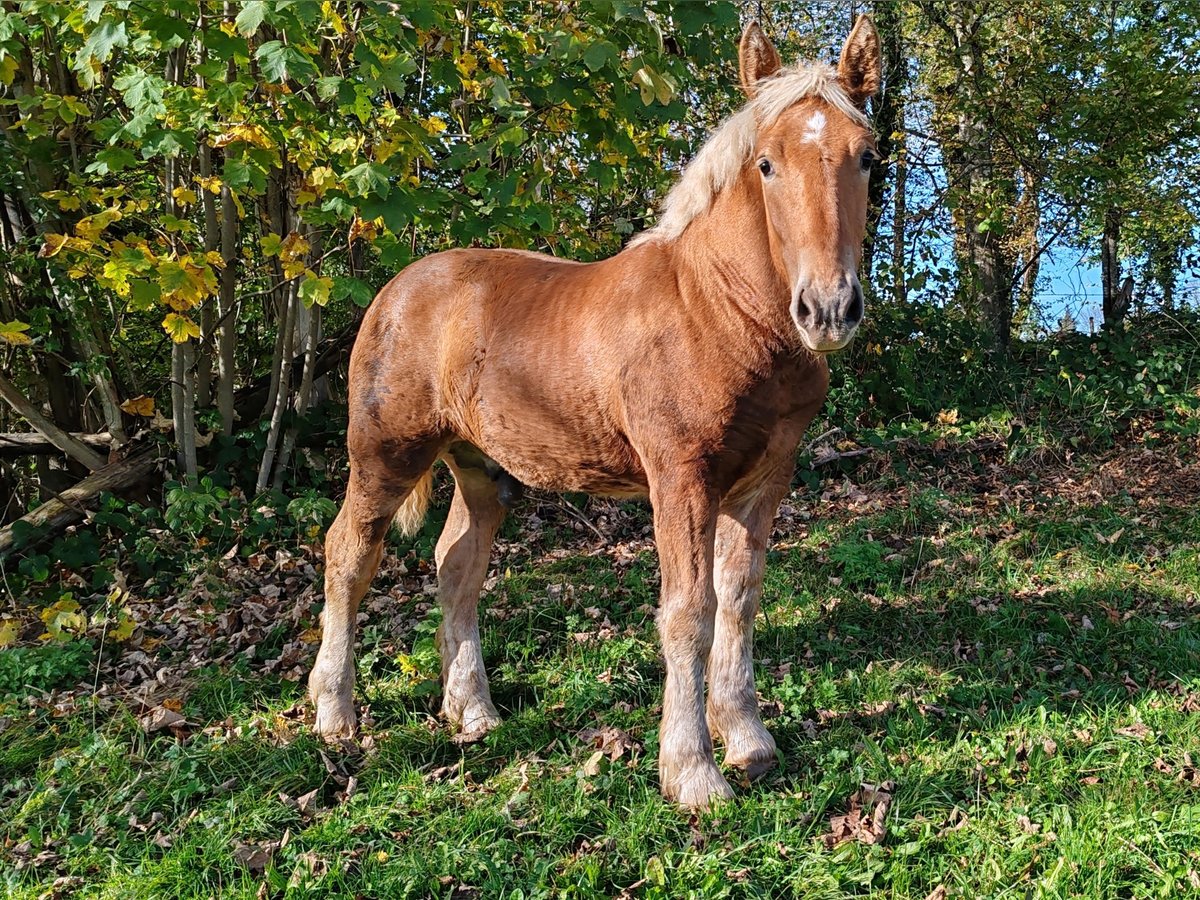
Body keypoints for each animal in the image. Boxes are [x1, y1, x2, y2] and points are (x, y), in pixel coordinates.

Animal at [312, 17, 883, 816]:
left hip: (480, 470)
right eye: (767, 164)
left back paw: (474, 713)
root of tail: (395, 290)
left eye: (867, 156)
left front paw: (749, 742)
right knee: (348, 556)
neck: (719, 312)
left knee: (457, 565)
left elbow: (740, 600)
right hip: (385, 453)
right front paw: (693, 773)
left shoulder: (765, 478)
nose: (828, 309)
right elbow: (689, 611)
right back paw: (335, 714)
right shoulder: (681, 479)